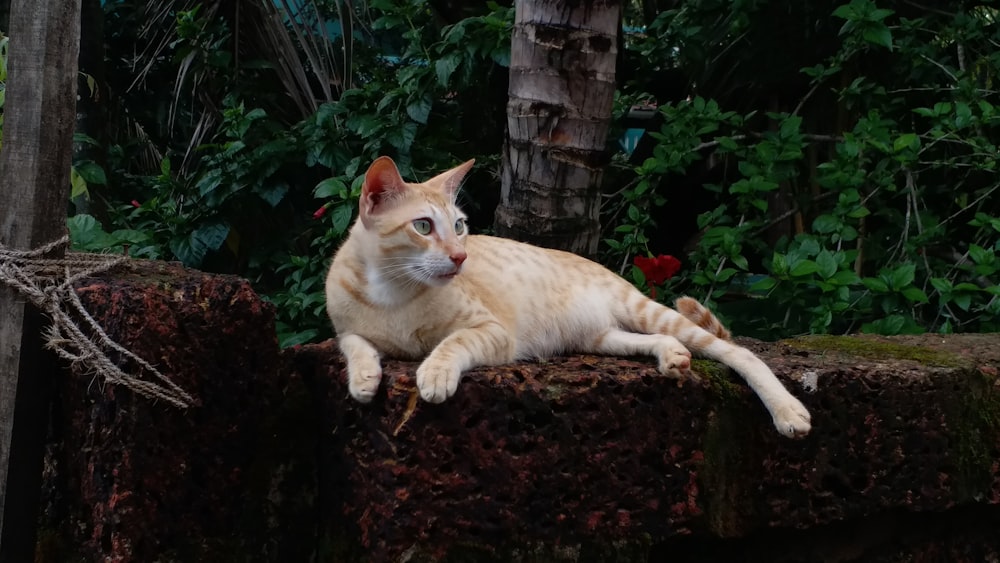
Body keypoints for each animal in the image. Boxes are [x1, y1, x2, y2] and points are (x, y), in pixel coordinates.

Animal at [326, 156, 812, 438]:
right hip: (598, 338)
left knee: (738, 352)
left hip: (647, 311)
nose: (461, 256)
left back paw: (788, 411)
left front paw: (434, 372)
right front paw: (365, 377)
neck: (393, 293)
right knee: (648, 341)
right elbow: (353, 343)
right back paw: (672, 356)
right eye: (424, 226)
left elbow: (451, 343)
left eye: (460, 226)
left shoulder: (492, 331)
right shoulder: (345, 327)